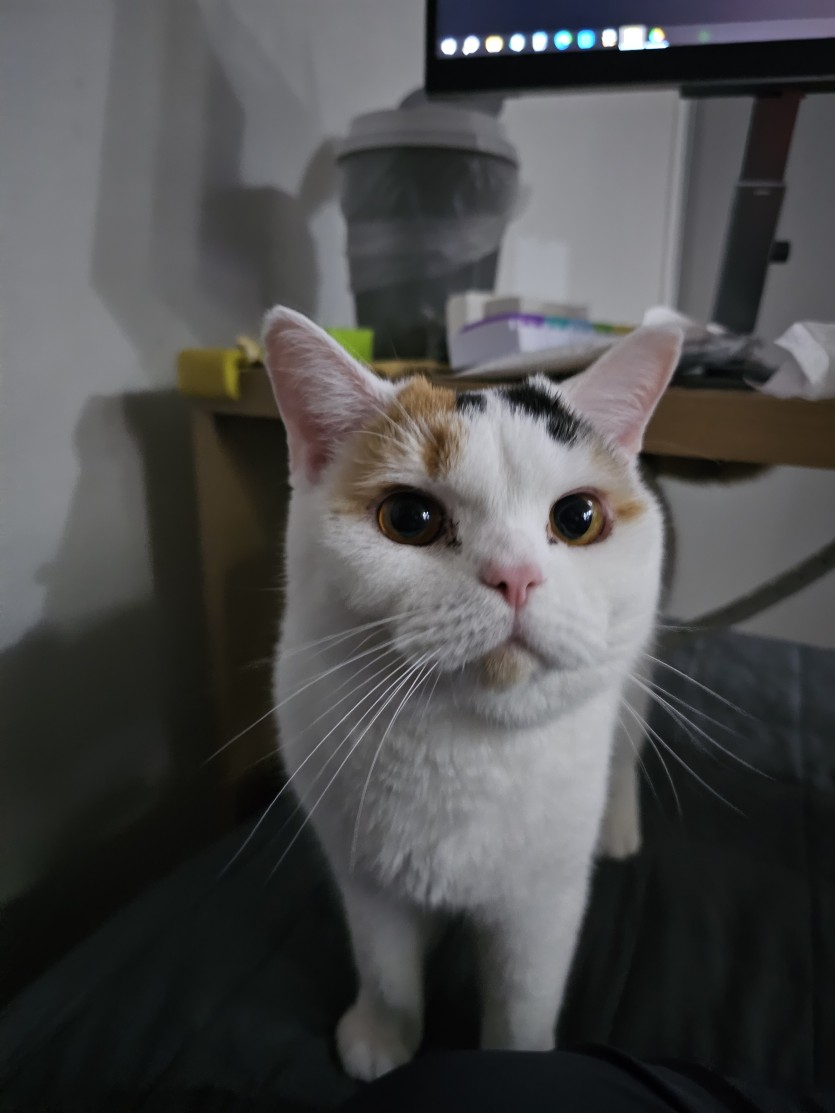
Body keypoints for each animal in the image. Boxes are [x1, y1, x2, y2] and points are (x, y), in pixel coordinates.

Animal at [261, 307, 682, 1081]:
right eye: (408, 518)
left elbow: (520, 1005)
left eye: (578, 518)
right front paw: (383, 1038)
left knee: (626, 752)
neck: (463, 745)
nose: (515, 575)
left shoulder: (541, 905)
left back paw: (617, 828)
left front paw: (514, 1069)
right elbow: (387, 968)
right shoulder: (364, 876)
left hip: (635, 678)